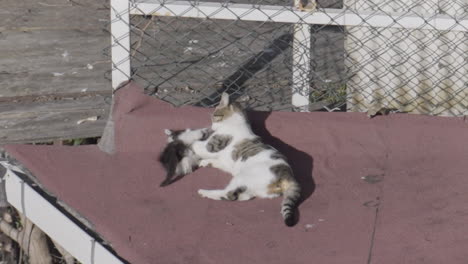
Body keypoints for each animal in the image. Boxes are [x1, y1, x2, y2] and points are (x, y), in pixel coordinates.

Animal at [159, 93, 302, 227]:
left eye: (214, 116)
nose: (212, 126)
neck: (237, 124)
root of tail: (288, 176)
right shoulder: (225, 162)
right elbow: (215, 160)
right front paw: (203, 161)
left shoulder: (211, 146)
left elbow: (195, 144)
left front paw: (182, 139)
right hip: (257, 188)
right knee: (243, 196)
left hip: (243, 177)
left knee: (228, 194)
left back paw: (204, 192)